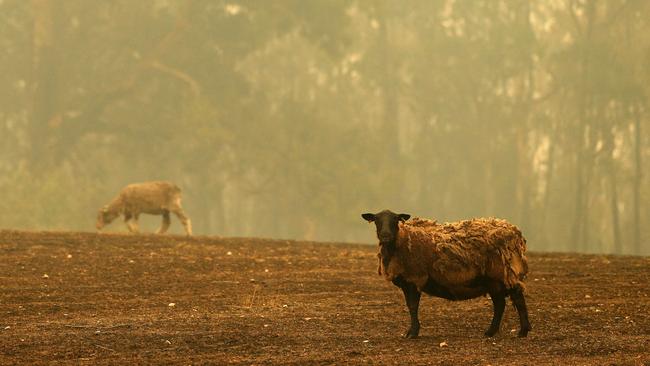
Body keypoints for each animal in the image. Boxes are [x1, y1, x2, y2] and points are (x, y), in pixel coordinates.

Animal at [362, 209, 528, 338]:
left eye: (395, 219)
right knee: (500, 304)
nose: (385, 236)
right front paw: (410, 332)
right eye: (376, 220)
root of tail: (516, 233)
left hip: (504, 274)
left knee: (517, 299)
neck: (401, 241)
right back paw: (490, 332)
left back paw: (523, 331)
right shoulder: (407, 282)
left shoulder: (415, 278)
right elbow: (410, 306)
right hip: (493, 280)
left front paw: (413, 333)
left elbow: (413, 306)